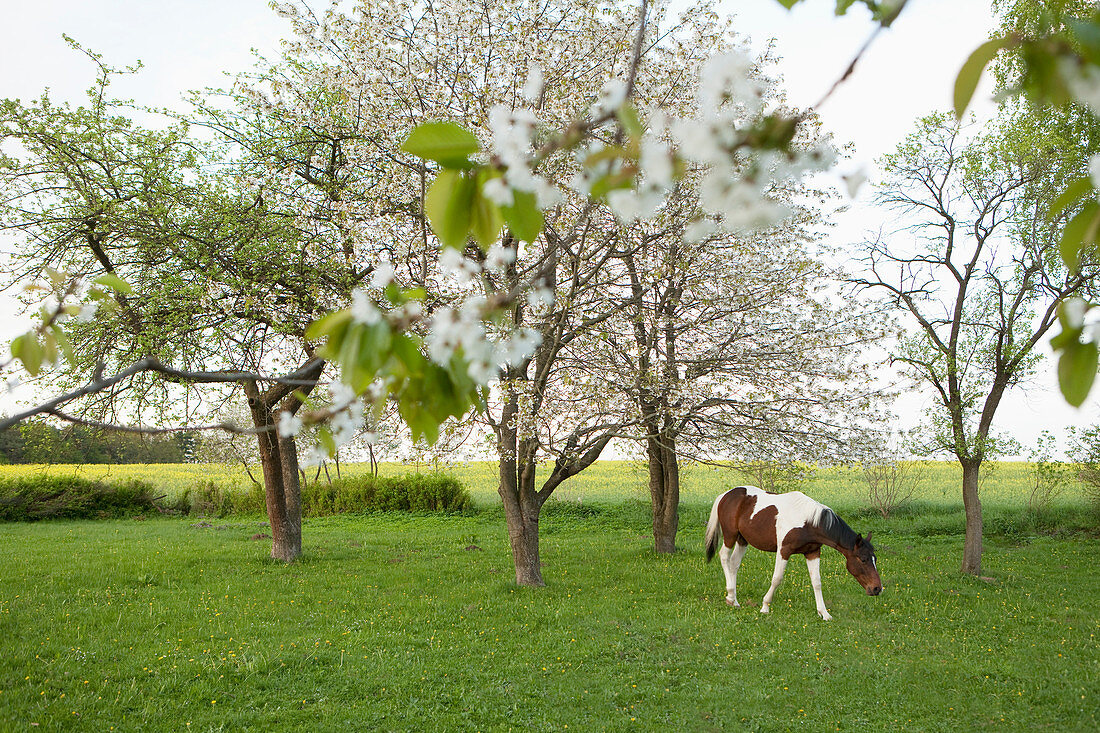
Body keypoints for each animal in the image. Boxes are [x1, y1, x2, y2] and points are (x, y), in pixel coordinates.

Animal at [708, 484, 880, 616]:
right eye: (863, 559)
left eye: (875, 559)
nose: (877, 588)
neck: (809, 522)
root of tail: (726, 495)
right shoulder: (784, 550)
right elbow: (777, 578)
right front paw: (765, 606)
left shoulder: (812, 553)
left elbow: (817, 582)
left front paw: (824, 613)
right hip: (730, 535)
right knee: (724, 557)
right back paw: (731, 596)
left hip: (743, 540)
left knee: (734, 563)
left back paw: (734, 600)